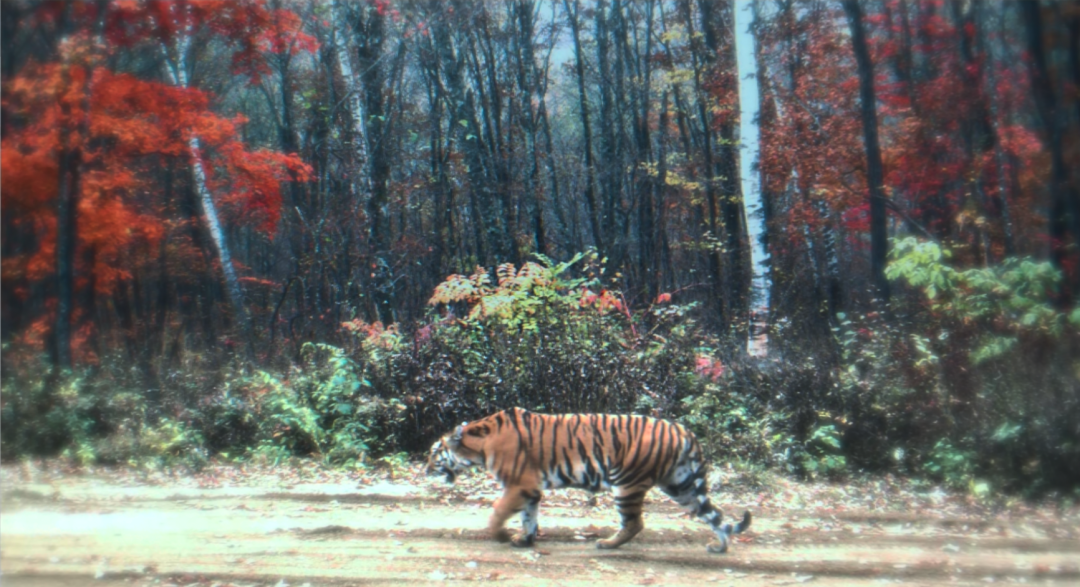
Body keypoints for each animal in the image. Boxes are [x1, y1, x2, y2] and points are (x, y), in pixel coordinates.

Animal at [426, 407, 751, 553]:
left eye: (434, 453)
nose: (426, 469)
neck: (479, 444)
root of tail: (683, 430)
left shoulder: (519, 485)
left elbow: (497, 513)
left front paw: (501, 536)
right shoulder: (530, 489)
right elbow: (529, 517)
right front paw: (524, 540)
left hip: (627, 483)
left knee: (635, 523)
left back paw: (607, 544)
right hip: (680, 484)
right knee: (713, 514)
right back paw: (720, 547)